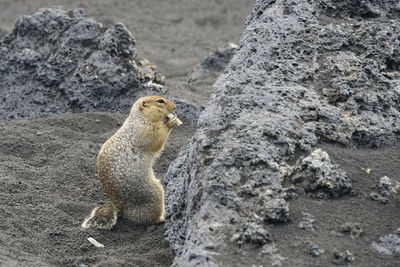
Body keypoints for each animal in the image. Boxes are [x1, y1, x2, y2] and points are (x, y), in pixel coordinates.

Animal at [82, 96, 182, 230]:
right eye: (160, 101)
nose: (175, 106)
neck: (140, 117)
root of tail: (119, 208)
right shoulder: (145, 129)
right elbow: (157, 138)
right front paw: (170, 122)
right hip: (154, 193)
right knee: (151, 218)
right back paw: (162, 218)